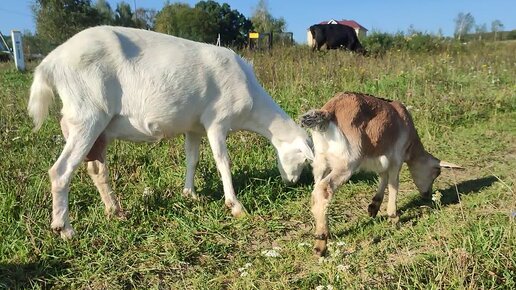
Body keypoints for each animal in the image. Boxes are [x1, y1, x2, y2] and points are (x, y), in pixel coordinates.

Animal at [29, 26, 314, 240]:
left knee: (97, 170)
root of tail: (50, 63)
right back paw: (64, 228)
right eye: (303, 159)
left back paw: (115, 211)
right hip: (87, 115)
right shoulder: (217, 121)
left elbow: (192, 159)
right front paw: (235, 206)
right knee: (60, 171)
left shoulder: (195, 126)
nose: (292, 182)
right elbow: (223, 162)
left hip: (97, 128)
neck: (252, 103)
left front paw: (190, 194)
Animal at [300, 92, 462, 255]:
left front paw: (374, 207)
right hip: (346, 163)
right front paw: (393, 217)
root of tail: (329, 111)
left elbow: (383, 176)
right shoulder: (397, 157)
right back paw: (321, 242)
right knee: (324, 190)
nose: (427, 194)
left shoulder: (382, 157)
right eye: (436, 173)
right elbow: (394, 183)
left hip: (320, 162)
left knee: (316, 191)